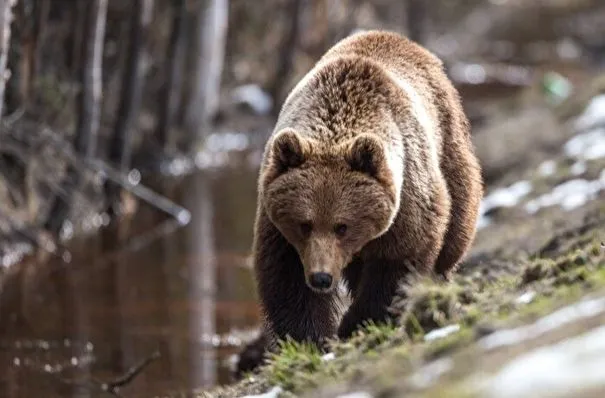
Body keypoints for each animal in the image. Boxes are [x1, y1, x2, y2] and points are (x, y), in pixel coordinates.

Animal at [241, 29, 482, 372]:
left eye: (342, 225)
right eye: (304, 224)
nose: (321, 277)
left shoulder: (407, 196)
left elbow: (398, 263)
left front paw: (357, 322)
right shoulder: (277, 223)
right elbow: (287, 279)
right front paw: (312, 337)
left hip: (448, 141)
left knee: (456, 225)